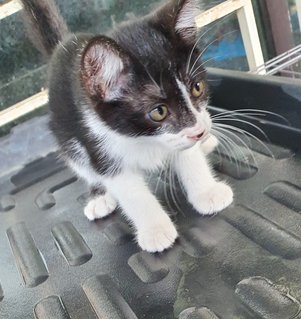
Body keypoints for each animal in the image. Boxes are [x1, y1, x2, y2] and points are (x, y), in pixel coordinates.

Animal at [20, 0, 232, 254]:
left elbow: (190, 159)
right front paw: (155, 230)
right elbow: (131, 192)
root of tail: (64, 44)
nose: (199, 131)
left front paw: (207, 192)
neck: (143, 138)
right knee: (81, 163)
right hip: (66, 136)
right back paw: (100, 197)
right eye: (159, 111)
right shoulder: (97, 140)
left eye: (197, 88)